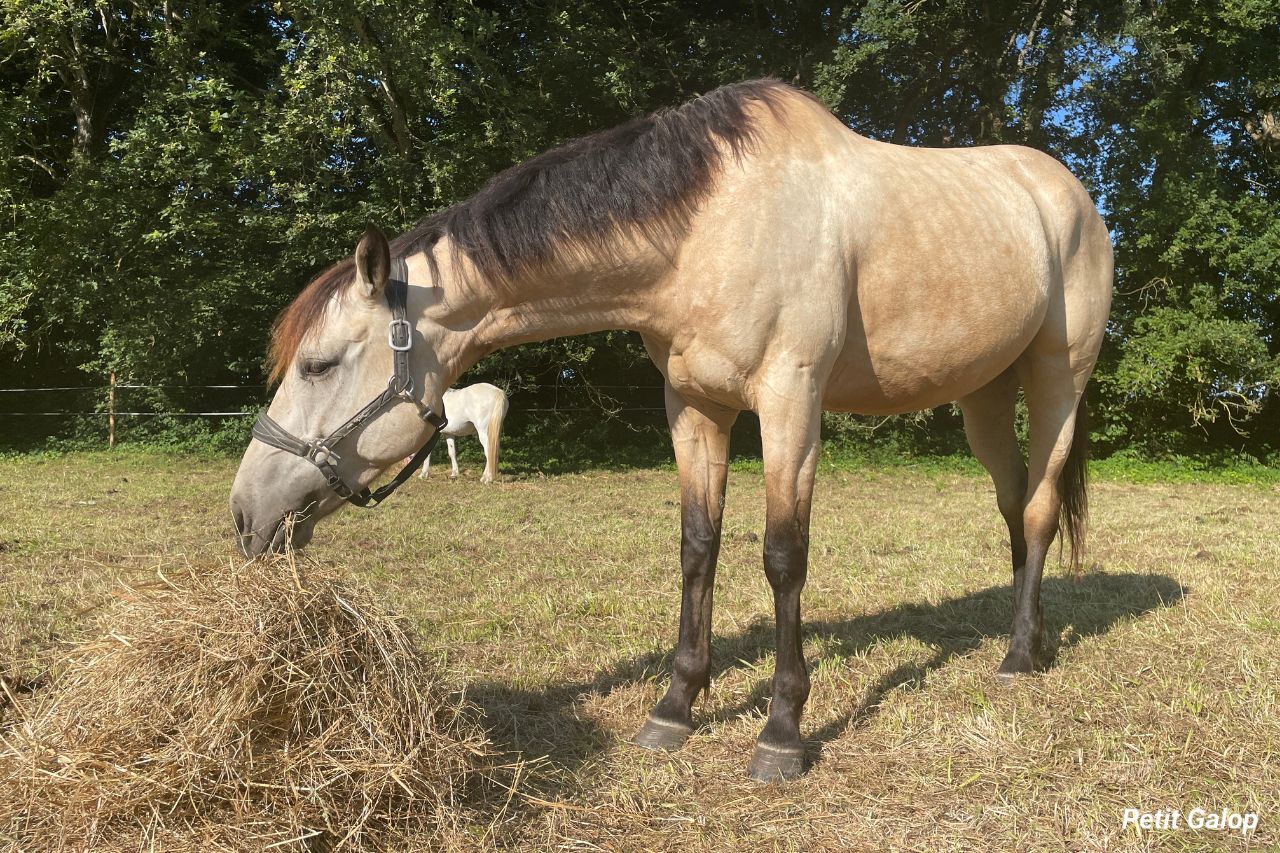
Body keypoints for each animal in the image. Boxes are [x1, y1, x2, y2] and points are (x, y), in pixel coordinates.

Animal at [230, 79, 1112, 782]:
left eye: (318, 363)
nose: (244, 515)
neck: (709, 227)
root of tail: (1068, 192)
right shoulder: (693, 407)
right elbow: (698, 546)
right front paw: (675, 707)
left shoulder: (791, 403)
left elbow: (782, 557)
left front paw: (782, 730)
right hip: (984, 396)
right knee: (1013, 508)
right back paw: (1024, 632)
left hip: (1056, 378)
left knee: (1038, 509)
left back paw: (1019, 656)